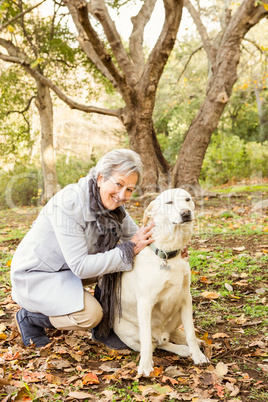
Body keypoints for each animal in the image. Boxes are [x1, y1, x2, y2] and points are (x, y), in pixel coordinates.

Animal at [112, 188, 207, 376]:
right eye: (169, 202)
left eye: (188, 199)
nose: (186, 213)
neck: (168, 255)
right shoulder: (145, 302)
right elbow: (147, 341)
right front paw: (145, 366)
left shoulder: (186, 298)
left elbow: (191, 333)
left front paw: (197, 355)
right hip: (127, 330)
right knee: (156, 343)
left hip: (177, 315)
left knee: (167, 339)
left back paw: (185, 347)